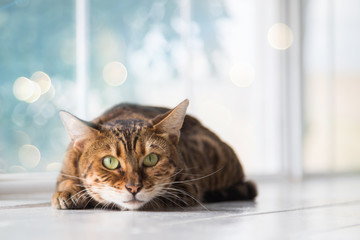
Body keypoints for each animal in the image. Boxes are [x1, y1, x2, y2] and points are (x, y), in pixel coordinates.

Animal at [52, 99, 258, 210]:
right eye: (109, 162)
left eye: (151, 159)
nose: (134, 188)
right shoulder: (66, 167)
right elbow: (65, 181)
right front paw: (68, 192)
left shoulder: (188, 187)